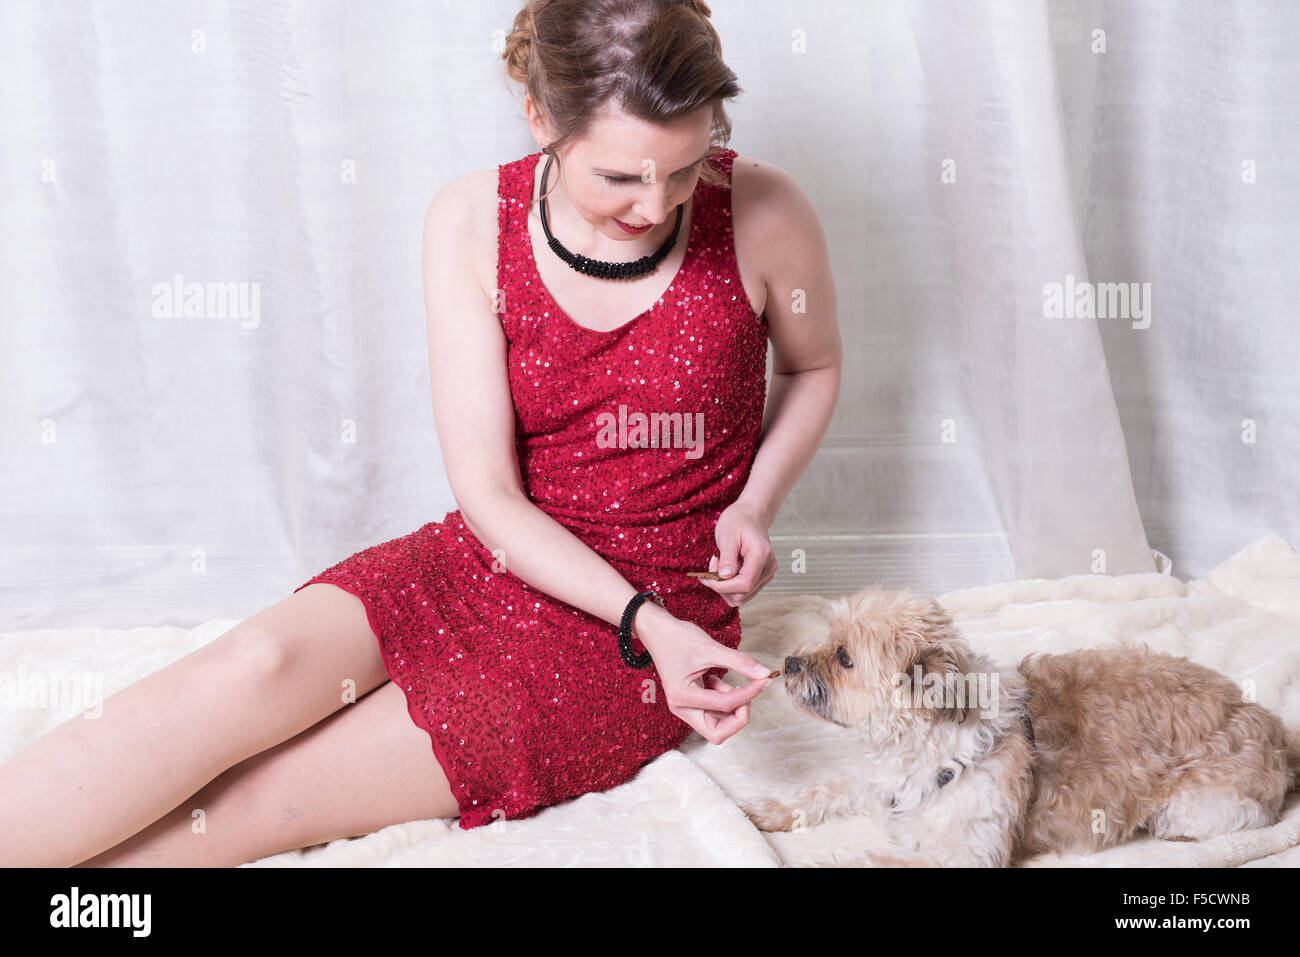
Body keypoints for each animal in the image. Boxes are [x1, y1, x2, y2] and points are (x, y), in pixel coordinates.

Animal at [743, 582, 1300, 868]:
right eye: (827, 636)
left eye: (843, 656)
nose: (789, 662)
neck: (922, 738)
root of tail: (1273, 728)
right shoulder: (883, 783)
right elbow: (827, 789)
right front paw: (768, 811)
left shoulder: (964, 856)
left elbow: (873, 861)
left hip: (1191, 808)